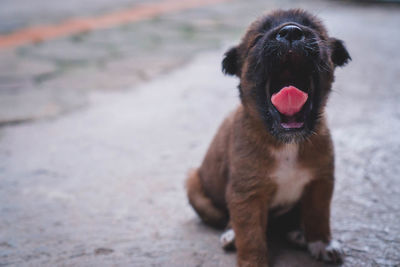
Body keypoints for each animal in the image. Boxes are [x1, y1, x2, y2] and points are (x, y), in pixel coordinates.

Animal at [187, 8, 350, 267]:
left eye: (315, 30)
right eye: (258, 37)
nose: (291, 32)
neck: (287, 144)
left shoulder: (320, 182)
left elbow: (318, 215)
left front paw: (321, 242)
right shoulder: (246, 193)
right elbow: (251, 234)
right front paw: (252, 260)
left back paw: (298, 232)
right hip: (194, 186)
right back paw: (231, 234)